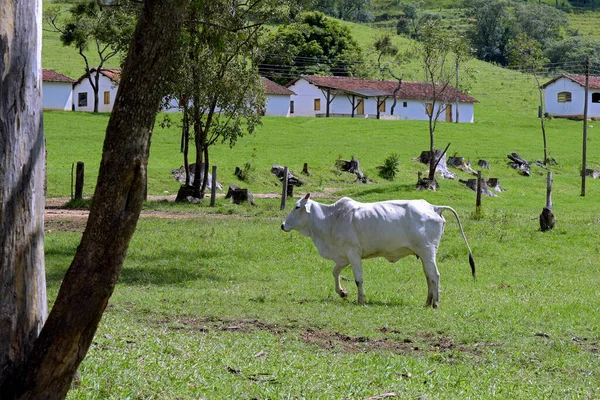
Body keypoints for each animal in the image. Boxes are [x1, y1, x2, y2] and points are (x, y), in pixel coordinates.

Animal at [280, 193, 474, 306]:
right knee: (428, 276)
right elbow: (335, 272)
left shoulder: (353, 253)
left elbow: (358, 279)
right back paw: (427, 302)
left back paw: (435, 304)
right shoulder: (344, 256)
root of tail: (433, 207)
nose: (282, 225)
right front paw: (342, 292)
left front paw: (360, 300)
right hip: (425, 255)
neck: (332, 218)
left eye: (297, 206)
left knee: (434, 276)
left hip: (428, 252)